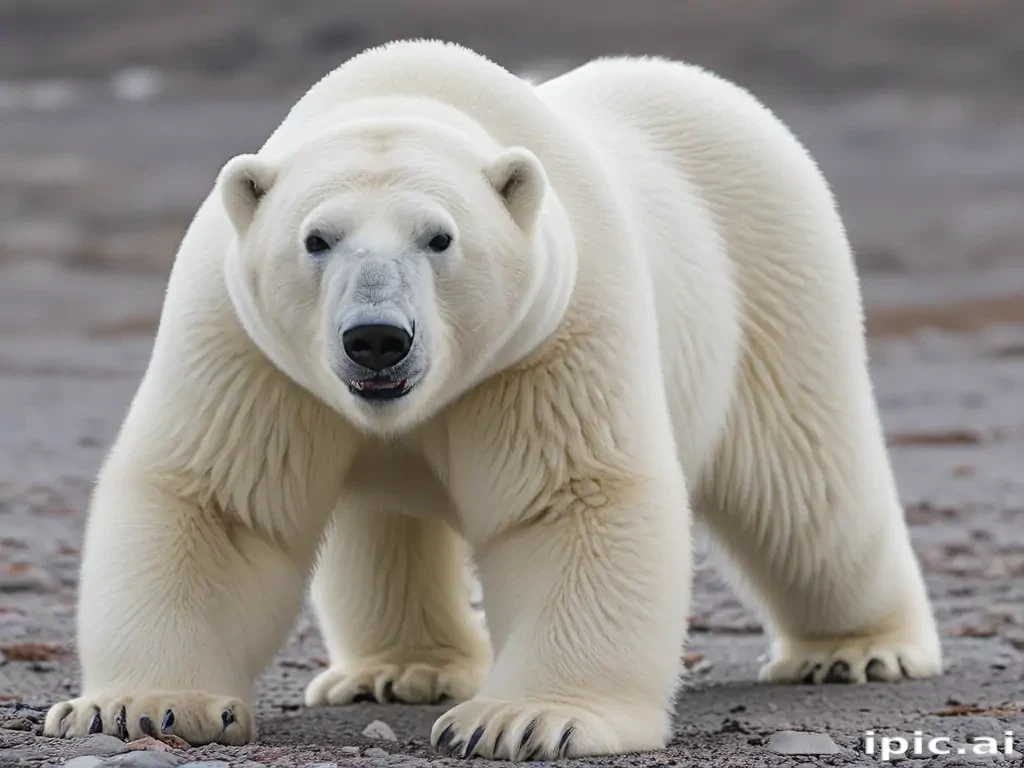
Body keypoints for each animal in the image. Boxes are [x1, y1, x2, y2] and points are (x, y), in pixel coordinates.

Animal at [44, 39, 942, 760]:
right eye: (316, 238)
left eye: (440, 237)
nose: (377, 337)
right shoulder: (248, 346)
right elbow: (217, 504)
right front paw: (138, 706)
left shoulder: (552, 333)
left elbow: (571, 500)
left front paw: (526, 720)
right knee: (386, 523)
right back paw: (398, 670)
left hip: (774, 269)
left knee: (804, 487)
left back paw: (858, 650)